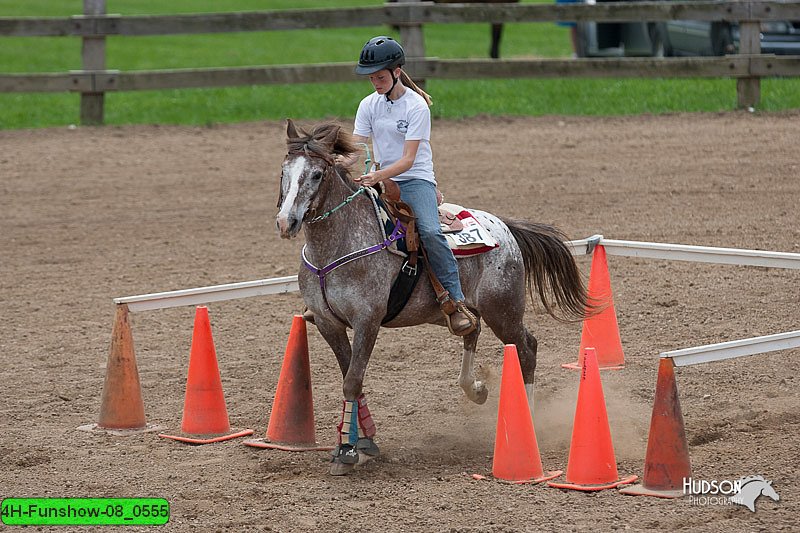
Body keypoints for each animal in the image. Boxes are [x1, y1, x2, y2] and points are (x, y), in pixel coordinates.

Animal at [278, 120, 592, 474]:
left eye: (317, 174)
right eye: (284, 170)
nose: (286, 221)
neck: (339, 244)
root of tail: (505, 228)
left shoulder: (367, 321)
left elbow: (352, 381)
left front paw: (347, 450)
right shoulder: (327, 323)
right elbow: (351, 378)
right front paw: (365, 440)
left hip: (503, 310)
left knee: (527, 348)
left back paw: (529, 418)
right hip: (457, 312)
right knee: (471, 330)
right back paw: (476, 389)